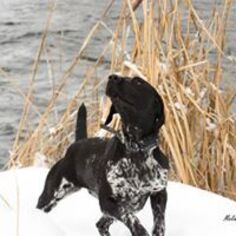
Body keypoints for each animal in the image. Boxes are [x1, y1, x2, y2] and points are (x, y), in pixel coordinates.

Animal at [37, 74, 169, 236]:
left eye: (138, 81)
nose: (113, 77)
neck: (137, 150)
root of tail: (77, 144)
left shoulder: (159, 193)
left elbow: (159, 221)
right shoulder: (108, 202)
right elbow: (131, 218)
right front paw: (140, 231)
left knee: (101, 225)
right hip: (51, 195)